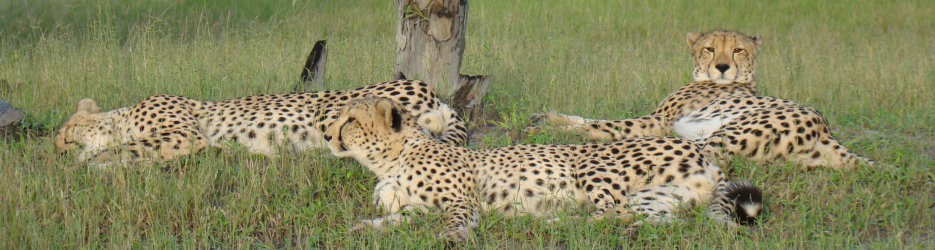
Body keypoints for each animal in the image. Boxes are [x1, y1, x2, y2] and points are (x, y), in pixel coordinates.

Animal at [322, 97, 760, 242]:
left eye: (350, 120)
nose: (327, 134)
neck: (390, 159)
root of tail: (706, 155)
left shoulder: (462, 203)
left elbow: (454, 221)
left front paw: (451, 238)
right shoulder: (415, 207)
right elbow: (395, 220)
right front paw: (362, 228)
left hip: (591, 162)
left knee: (609, 211)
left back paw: (549, 223)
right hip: (657, 198)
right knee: (659, 220)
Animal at [532, 29, 876, 170]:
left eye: (738, 50)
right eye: (710, 48)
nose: (722, 67)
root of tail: (825, 127)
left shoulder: (657, 121)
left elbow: (603, 125)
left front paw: (552, 130)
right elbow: (589, 118)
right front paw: (548, 117)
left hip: (728, 131)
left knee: (708, 157)